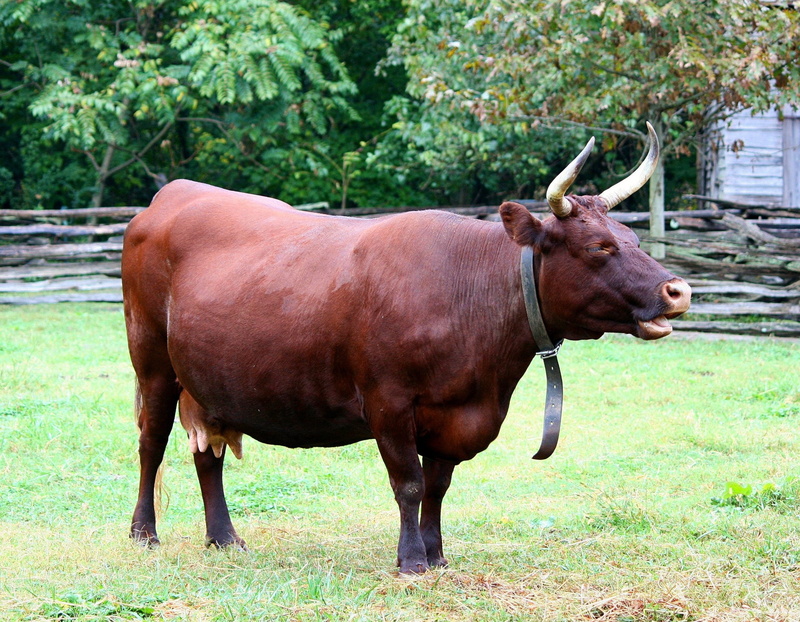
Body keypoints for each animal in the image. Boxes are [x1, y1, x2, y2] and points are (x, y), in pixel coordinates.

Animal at [122, 123, 690, 574]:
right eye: (599, 247)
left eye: (635, 240)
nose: (677, 290)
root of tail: (172, 195)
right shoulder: (388, 403)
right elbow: (410, 483)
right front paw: (412, 560)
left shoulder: (454, 415)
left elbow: (437, 487)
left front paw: (436, 555)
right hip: (152, 362)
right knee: (151, 443)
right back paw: (144, 533)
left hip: (207, 380)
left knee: (208, 454)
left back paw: (224, 538)